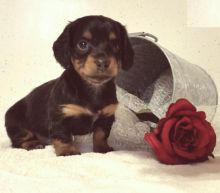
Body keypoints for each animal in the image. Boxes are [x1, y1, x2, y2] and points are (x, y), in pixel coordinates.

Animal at [4, 15, 133, 156]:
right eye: (82, 44)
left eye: (115, 44)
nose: (103, 62)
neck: (93, 88)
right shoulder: (61, 116)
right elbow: (63, 136)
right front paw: (68, 151)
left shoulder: (106, 116)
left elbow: (101, 135)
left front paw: (102, 149)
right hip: (18, 125)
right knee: (19, 141)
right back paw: (33, 144)